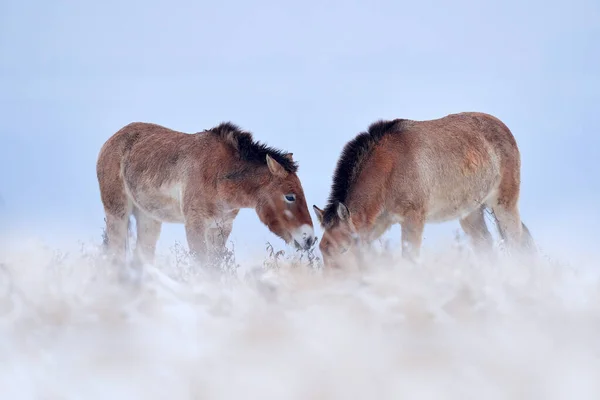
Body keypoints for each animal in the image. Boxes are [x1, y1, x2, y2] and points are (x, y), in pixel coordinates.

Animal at [96, 120, 316, 270]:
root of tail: (111, 141)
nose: (310, 239)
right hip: (118, 214)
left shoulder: (221, 228)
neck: (219, 174)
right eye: (290, 196)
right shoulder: (195, 225)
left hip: (148, 218)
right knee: (116, 251)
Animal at [314, 111, 536, 270]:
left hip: (504, 205)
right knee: (485, 245)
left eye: (344, 249)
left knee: (515, 241)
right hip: (471, 214)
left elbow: (410, 258)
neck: (389, 168)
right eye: (322, 249)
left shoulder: (413, 220)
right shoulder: (378, 225)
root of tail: (502, 127)